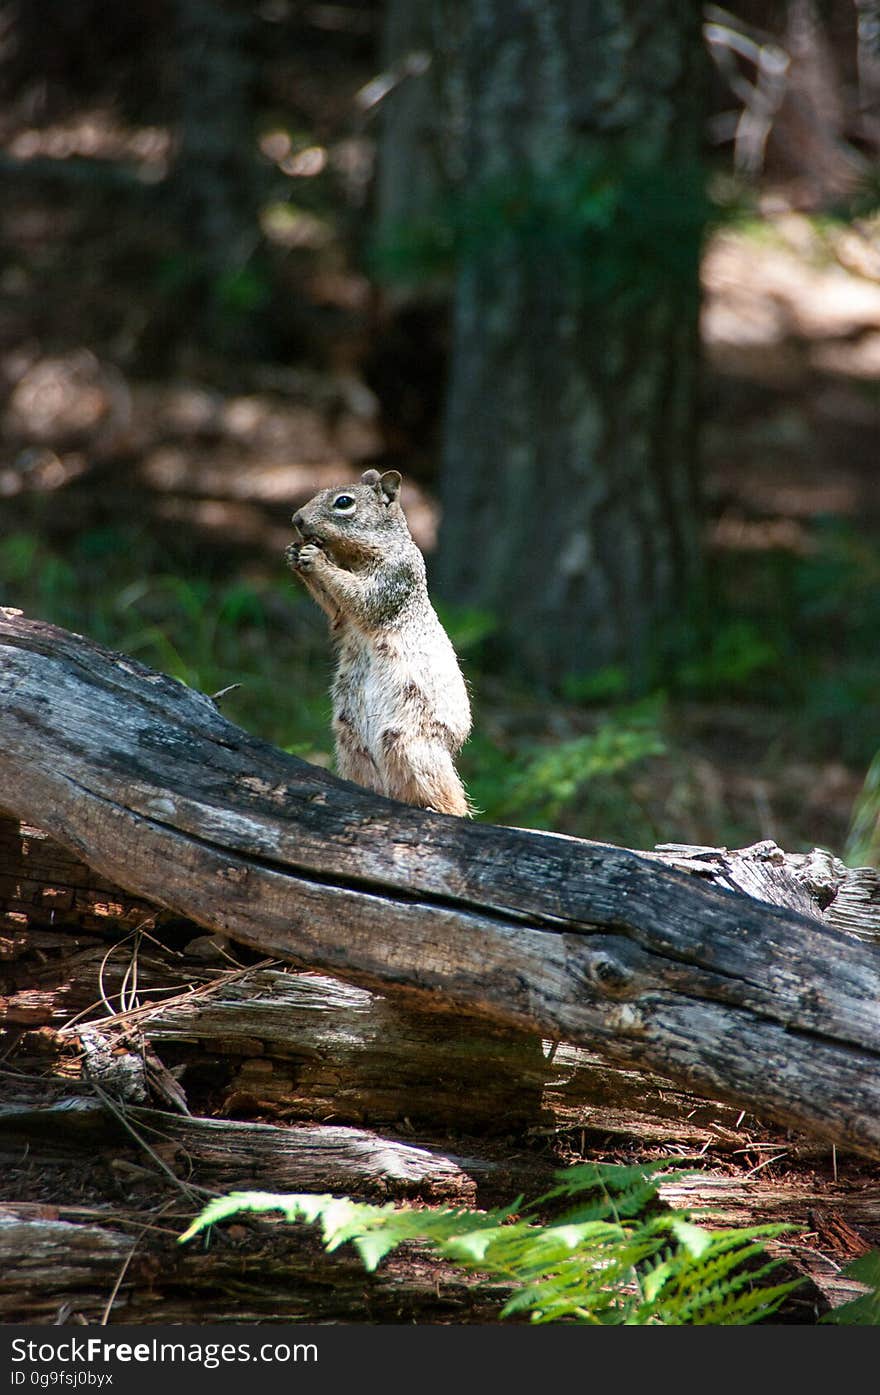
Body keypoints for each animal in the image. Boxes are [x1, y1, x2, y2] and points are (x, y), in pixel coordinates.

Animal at [285, 468, 471, 814]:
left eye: (344, 502)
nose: (296, 519)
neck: (353, 557)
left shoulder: (392, 578)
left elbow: (359, 596)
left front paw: (316, 558)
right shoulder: (342, 618)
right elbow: (337, 610)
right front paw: (293, 554)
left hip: (411, 745)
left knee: (453, 800)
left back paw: (437, 808)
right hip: (351, 744)